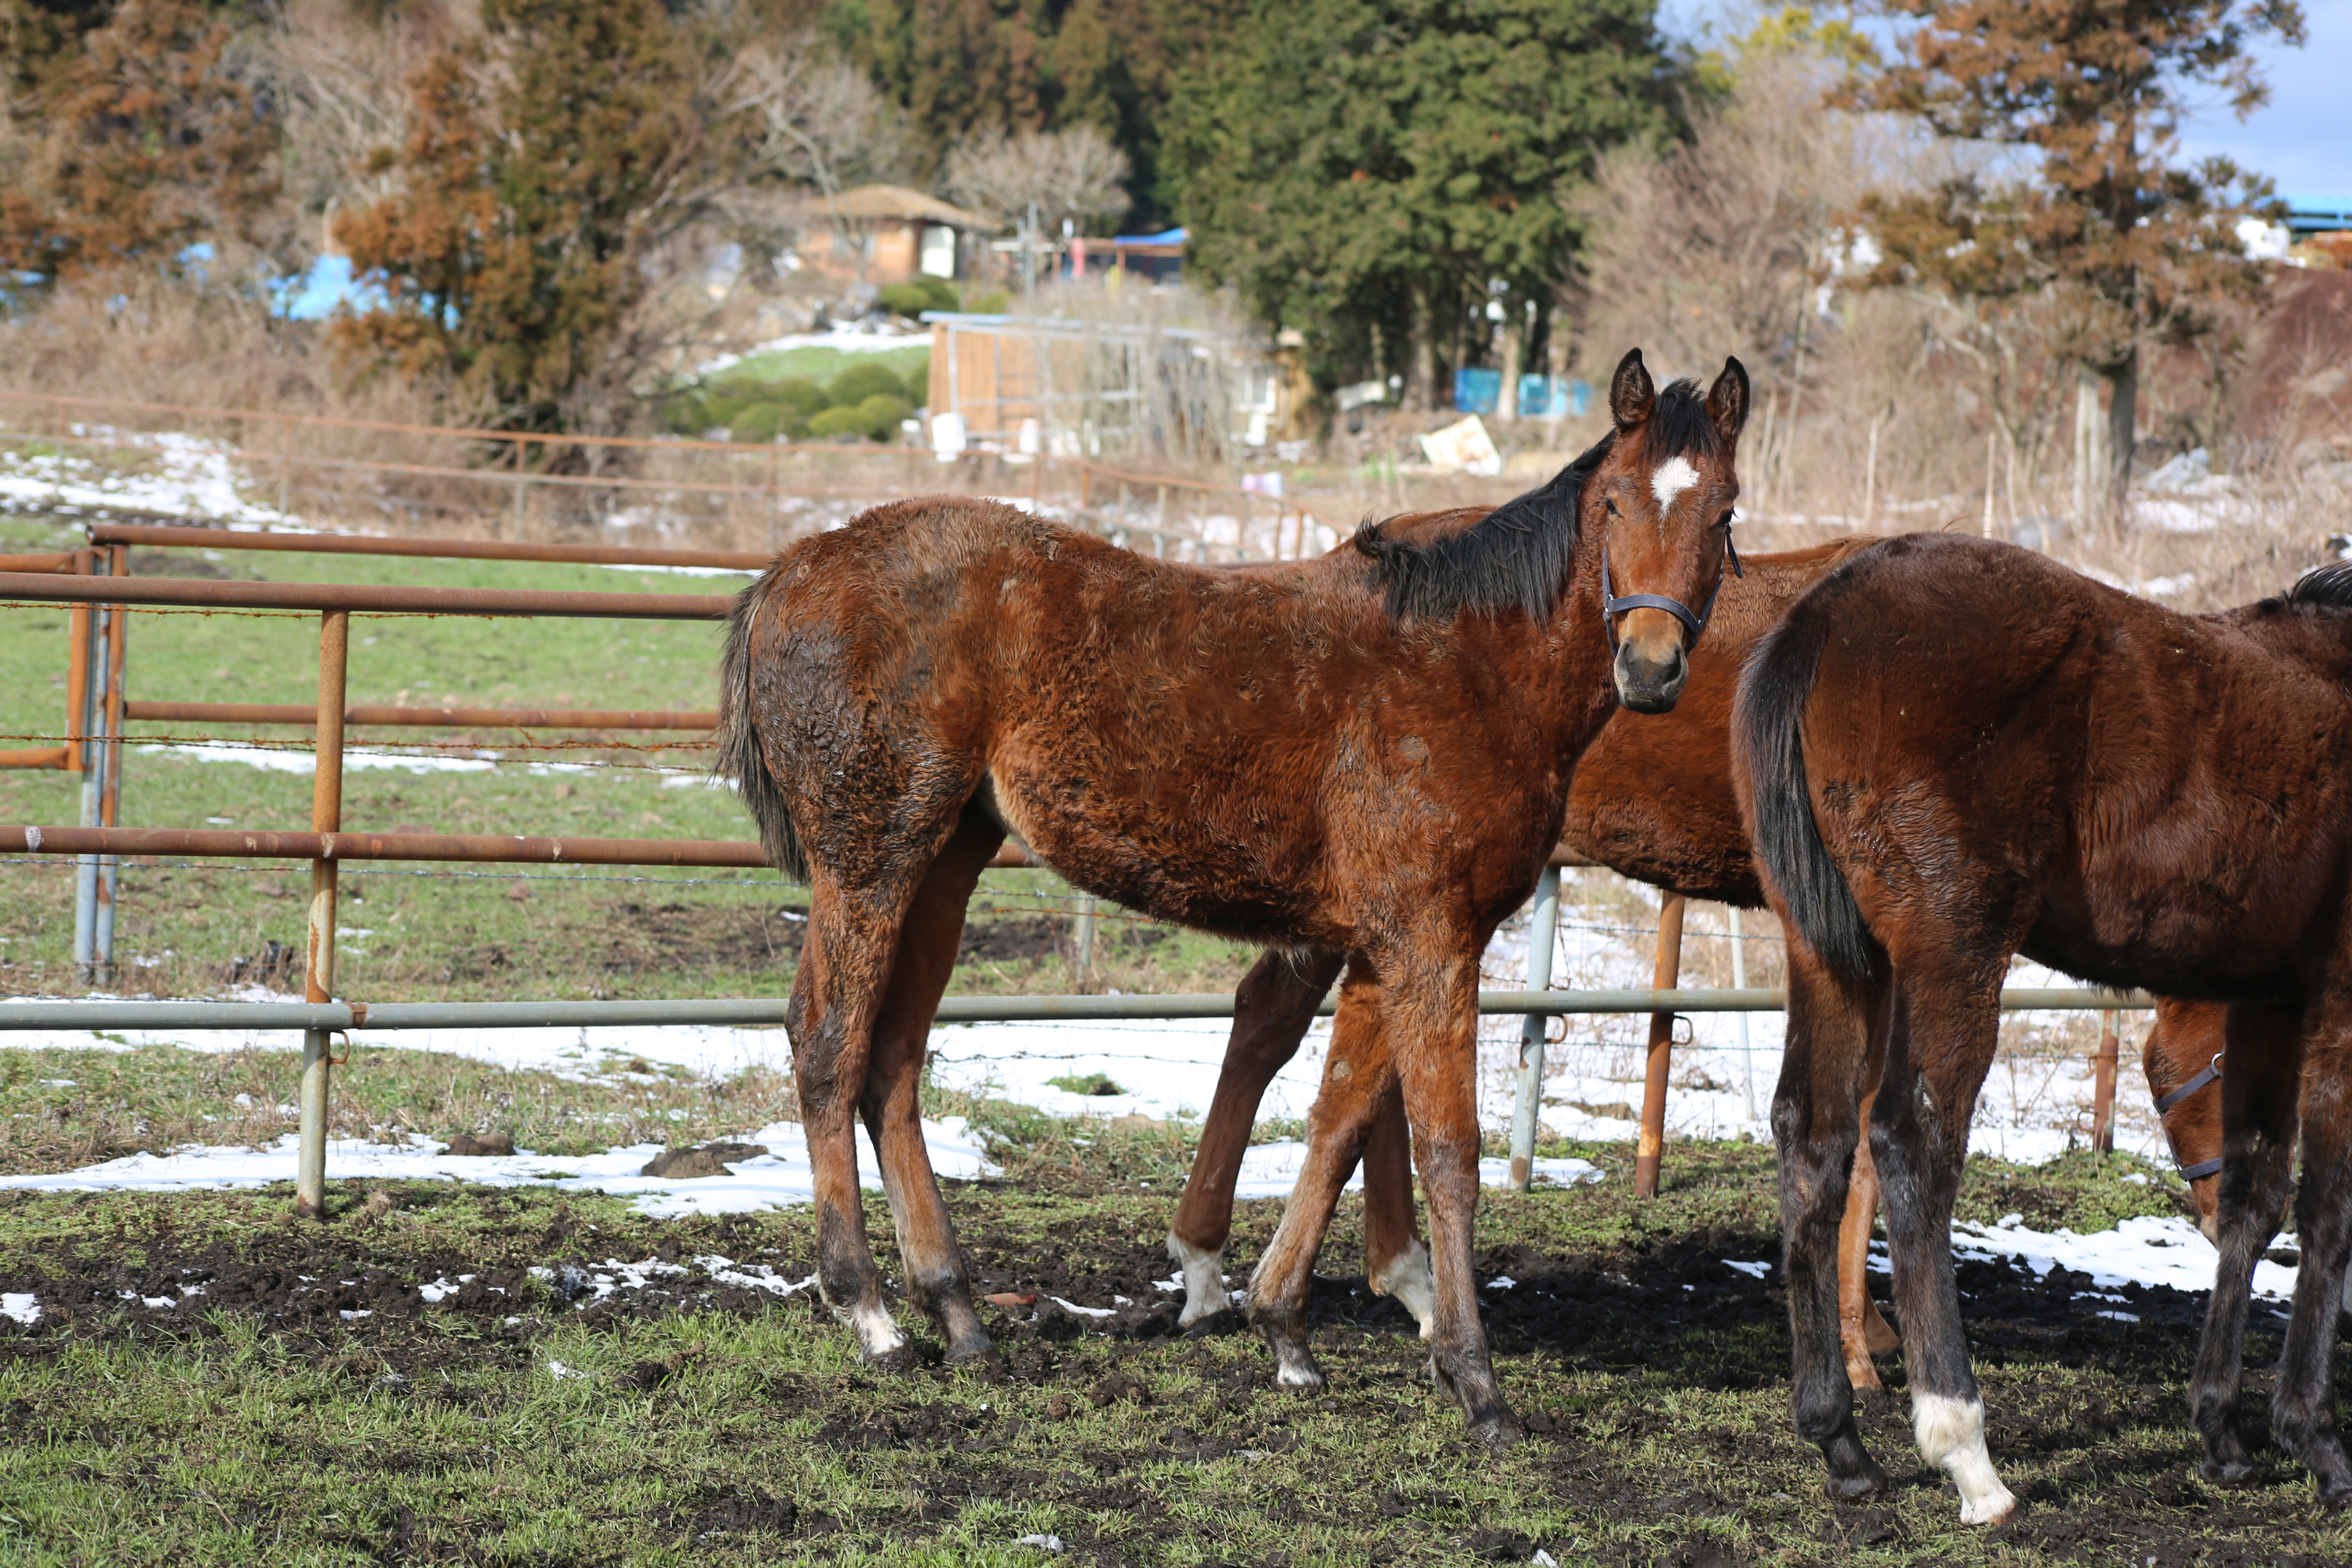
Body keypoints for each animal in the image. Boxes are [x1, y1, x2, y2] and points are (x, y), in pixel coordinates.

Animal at [724, 352, 1759, 1448]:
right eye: (1613, 503)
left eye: (1724, 512)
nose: (1650, 667)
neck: (1472, 665)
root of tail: (795, 565)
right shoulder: (1433, 938)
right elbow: (1446, 1150)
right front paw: (1474, 1381)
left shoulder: (1384, 943)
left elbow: (1339, 1120)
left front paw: (1284, 1328)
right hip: (869, 858)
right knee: (829, 1042)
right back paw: (869, 1311)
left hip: (944, 862)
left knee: (892, 1062)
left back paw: (958, 1313)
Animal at [1740, 533, 2352, 1523]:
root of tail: (1823, 613)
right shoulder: (2337, 999)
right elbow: (2328, 1207)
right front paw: (2317, 1441)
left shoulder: (2270, 999)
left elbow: (2258, 1198)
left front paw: (2224, 1431)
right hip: (1954, 951)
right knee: (1912, 1141)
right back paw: (1966, 1453)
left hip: (1833, 957)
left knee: (1813, 1141)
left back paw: (1841, 1440)